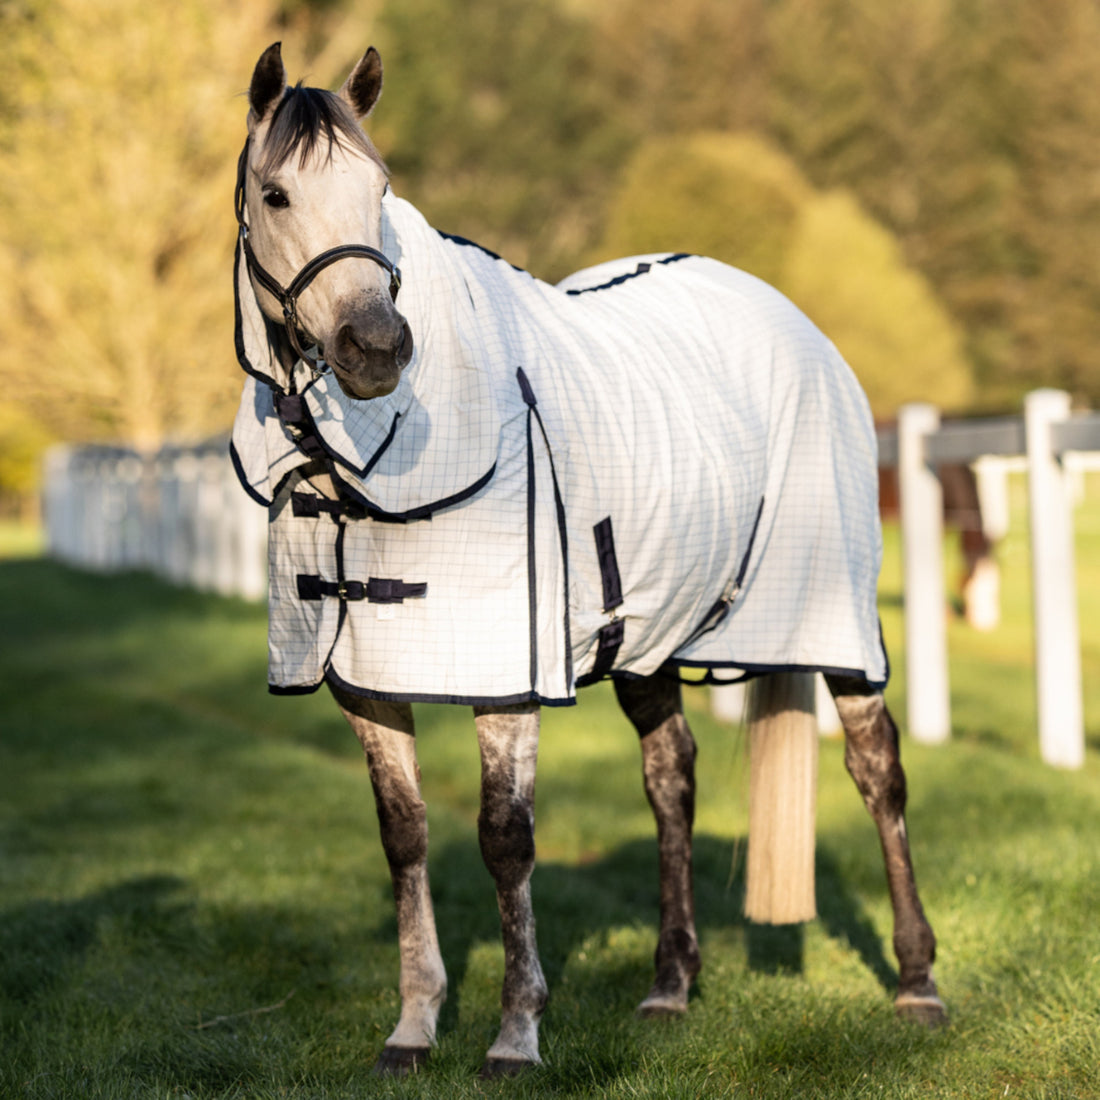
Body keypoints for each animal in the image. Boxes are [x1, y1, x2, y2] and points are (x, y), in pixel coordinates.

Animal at [230, 42, 947, 1078]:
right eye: (277, 192)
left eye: (381, 189)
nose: (376, 348)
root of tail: (795, 322)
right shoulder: (369, 679)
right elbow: (404, 835)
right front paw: (413, 1027)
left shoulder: (509, 674)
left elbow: (505, 839)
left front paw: (516, 1034)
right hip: (649, 631)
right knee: (671, 778)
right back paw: (669, 985)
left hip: (836, 619)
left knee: (877, 770)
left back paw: (918, 982)